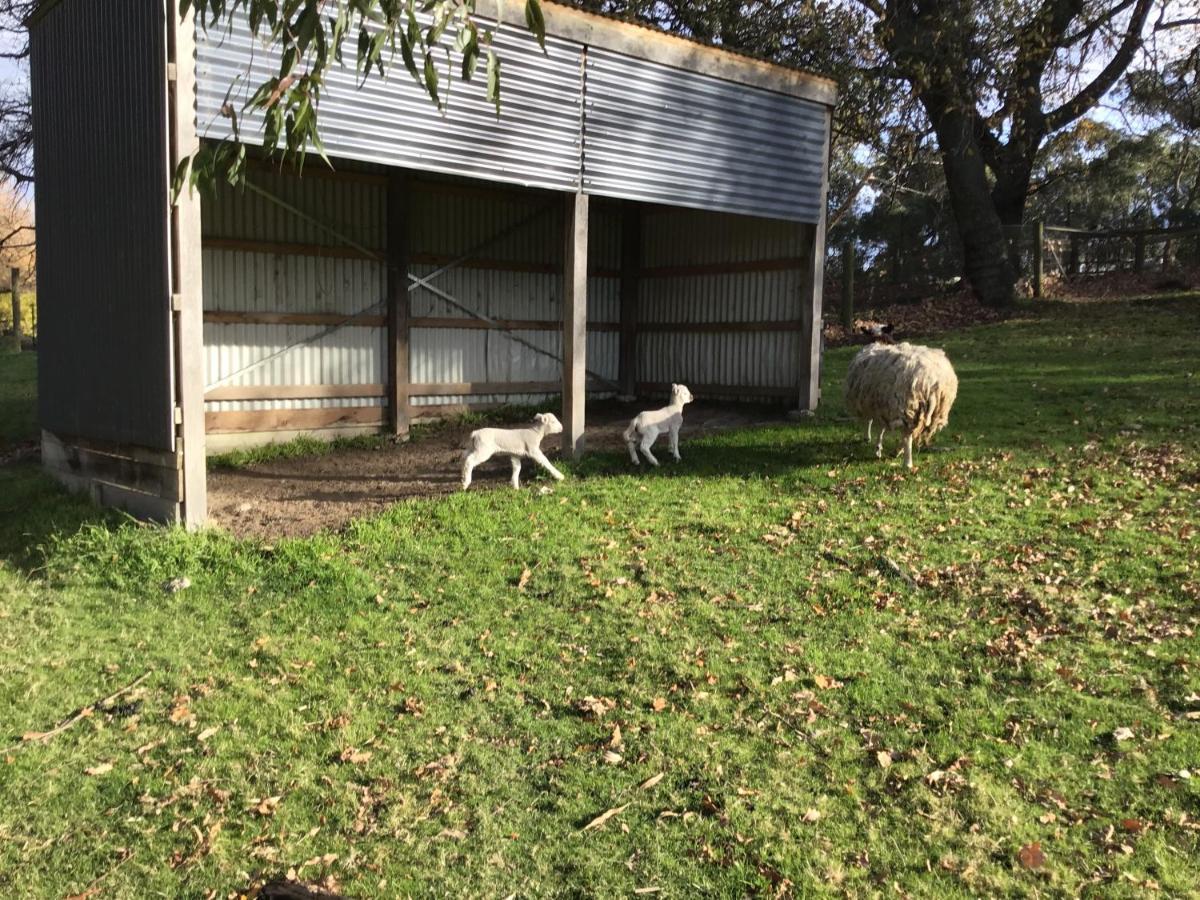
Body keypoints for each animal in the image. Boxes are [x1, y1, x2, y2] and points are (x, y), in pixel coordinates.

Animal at [844, 343, 955, 472]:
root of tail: (933, 383)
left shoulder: (874, 404)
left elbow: (872, 423)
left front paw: (872, 442)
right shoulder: (882, 406)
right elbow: (880, 427)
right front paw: (877, 446)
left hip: (908, 407)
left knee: (907, 437)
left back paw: (907, 463)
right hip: (934, 413)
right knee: (912, 433)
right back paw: (896, 452)